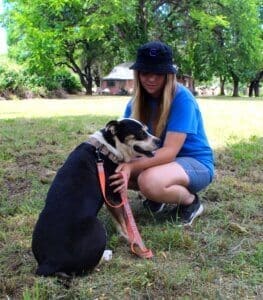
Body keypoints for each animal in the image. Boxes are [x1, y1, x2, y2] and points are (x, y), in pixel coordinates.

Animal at [31, 118, 159, 276]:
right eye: (141, 133)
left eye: (147, 130)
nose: (159, 141)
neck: (107, 149)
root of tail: (49, 263)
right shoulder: (112, 194)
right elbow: (123, 221)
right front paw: (131, 239)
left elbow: (118, 220)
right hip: (97, 225)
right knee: (90, 266)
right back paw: (106, 254)